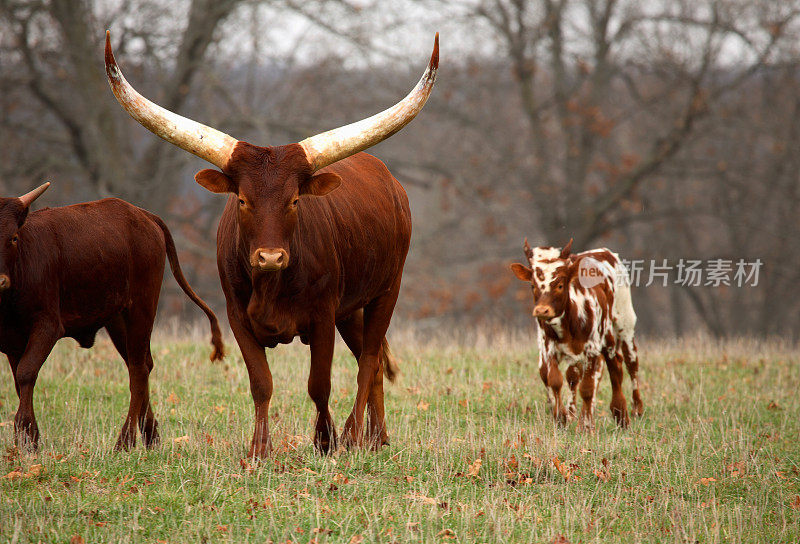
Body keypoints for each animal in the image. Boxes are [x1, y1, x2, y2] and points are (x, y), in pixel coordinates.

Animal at [0, 185, 222, 452]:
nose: (0, 281)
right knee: (143, 364)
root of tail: (142, 214)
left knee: (138, 370)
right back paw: (150, 435)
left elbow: (26, 373)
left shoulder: (47, 325)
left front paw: (24, 436)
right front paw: (29, 437)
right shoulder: (12, 342)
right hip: (117, 320)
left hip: (141, 308)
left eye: (13, 237)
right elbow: (19, 379)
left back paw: (125, 440)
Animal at [104, 29, 440, 454]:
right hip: (350, 309)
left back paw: (354, 434)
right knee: (376, 360)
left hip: (386, 290)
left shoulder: (322, 316)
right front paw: (259, 450)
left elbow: (319, 385)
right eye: (242, 200)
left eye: (294, 200)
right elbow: (261, 384)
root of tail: (391, 181)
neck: (272, 285)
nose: (269, 257)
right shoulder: (238, 317)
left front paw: (326, 441)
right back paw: (378, 438)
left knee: (368, 360)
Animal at [512, 238, 644, 430]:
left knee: (627, 364)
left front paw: (586, 426)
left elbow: (587, 387)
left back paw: (632, 410)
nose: (542, 310)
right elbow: (554, 379)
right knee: (581, 374)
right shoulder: (547, 347)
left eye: (560, 285)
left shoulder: (592, 348)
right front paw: (561, 417)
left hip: (623, 323)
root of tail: (603, 251)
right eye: (532, 285)